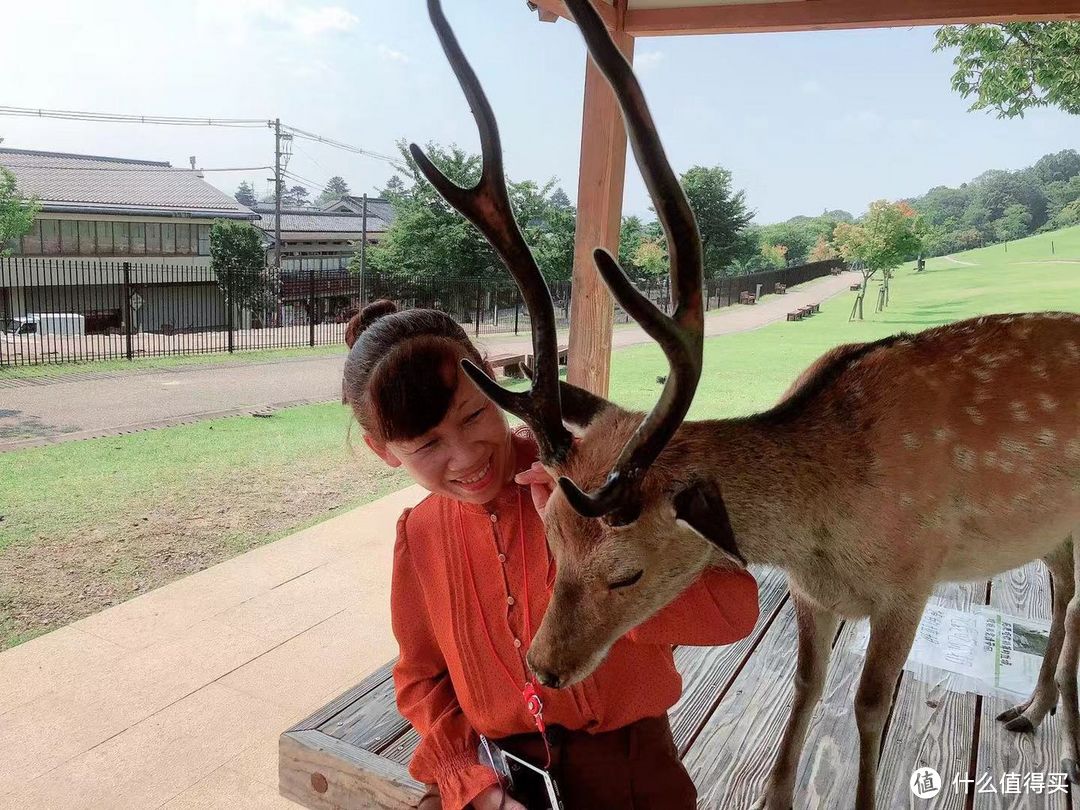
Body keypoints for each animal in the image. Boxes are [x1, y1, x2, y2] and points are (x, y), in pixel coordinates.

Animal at [412, 1, 1080, 810]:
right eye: (549, 539)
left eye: (626, 573)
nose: (541, 668)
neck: (827, 525)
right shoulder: (808, 594)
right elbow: (805, 684)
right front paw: (776, 793)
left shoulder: (911, 581)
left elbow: (868, 705)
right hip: (1056, 528)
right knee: (1060, 588)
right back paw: (1033, 706)